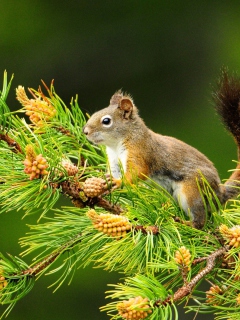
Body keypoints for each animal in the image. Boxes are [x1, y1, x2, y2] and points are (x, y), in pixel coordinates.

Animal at [83, 69, 240, 230]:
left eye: (106, 121)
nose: (85, 131)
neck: (116, 144)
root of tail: (219, 193)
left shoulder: (139, 151)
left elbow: (137, 171)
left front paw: (119, 182)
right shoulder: (114, 160)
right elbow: (114, 173)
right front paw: (104, 185)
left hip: (192, 190)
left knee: (200, 220)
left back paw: (186, 223)